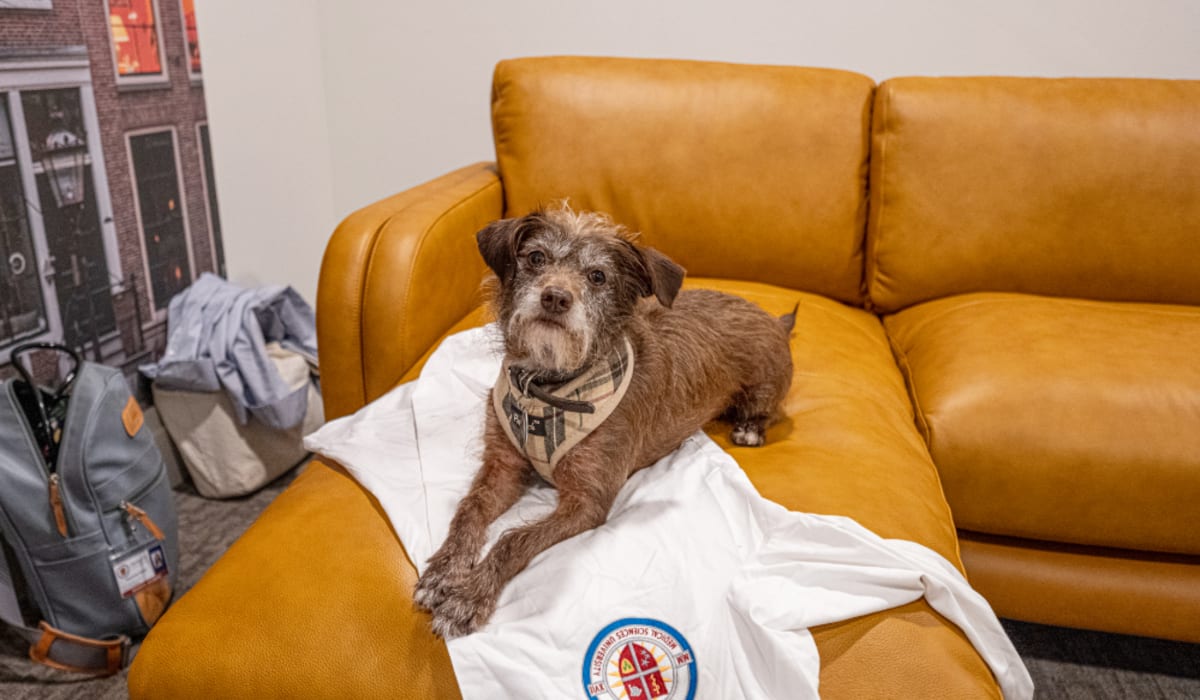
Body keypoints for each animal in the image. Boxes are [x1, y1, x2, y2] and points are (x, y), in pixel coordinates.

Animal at [415, 205, 796, 638]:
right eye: (536, 258)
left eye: (598, 276)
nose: (555, 297)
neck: (548, 386)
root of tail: (774, 319)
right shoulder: (502, 467)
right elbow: (469, 507)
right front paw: (445, 571)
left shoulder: (587, 502)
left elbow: (515, 538)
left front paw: (468, 596)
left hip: (765, 385)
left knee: (765, 409)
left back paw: (750, 428)